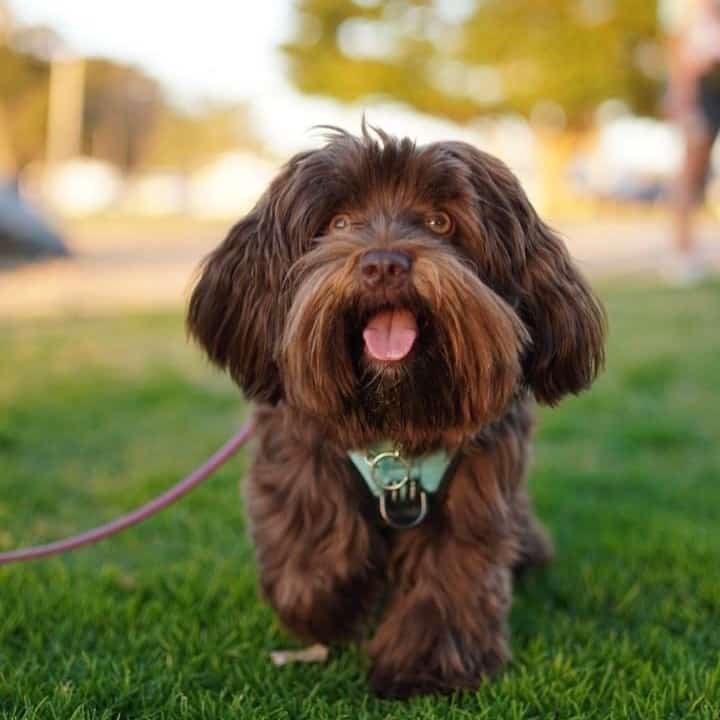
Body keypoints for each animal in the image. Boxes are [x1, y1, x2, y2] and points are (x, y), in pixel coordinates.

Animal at [188, 124, 604, 696]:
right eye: (338, 223)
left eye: (440, 222)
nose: (383, 264)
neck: (396, 425)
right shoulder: (296, 450)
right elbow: (313, 533)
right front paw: (327, 608)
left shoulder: (478, 488)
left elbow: (452, 571)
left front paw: (427, 665)